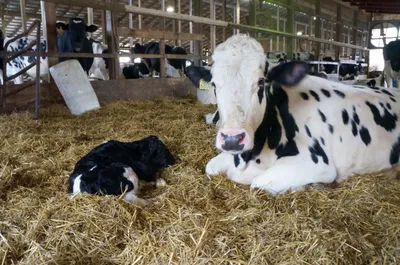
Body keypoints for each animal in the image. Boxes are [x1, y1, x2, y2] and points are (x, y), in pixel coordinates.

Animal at [200, 33, 400, 194]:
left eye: (261, 81)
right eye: (214, 84)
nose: (232, 139)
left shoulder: (317, 164)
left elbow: (257, 183)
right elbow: (210, 167)